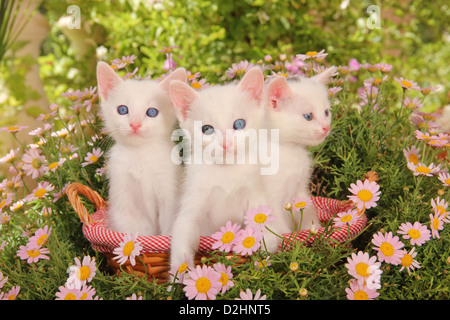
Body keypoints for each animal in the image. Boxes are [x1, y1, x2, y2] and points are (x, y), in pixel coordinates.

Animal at [96, 62, 186, 235]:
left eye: (152, 112)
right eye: (122, 109)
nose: (135, 124)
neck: (139, 154)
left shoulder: (169, 192)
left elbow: (168, 227)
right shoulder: (123, 200)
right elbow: (132, 231)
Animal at [168, 67, 272, 268]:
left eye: (239, 124)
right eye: (207, 129)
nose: (225, 143)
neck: (225, 172)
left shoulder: (256, 195)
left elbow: (265, 224)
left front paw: (265, 254)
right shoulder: (193, 201)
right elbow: (182, 231)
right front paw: (181, 270)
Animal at [266, 67, 336, 231]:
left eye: (326, 112)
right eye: (308, 116)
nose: (326, 127)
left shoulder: (300, 189)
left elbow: (308, 211)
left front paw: (313, 229)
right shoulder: (269, 202)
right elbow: (281, 230)